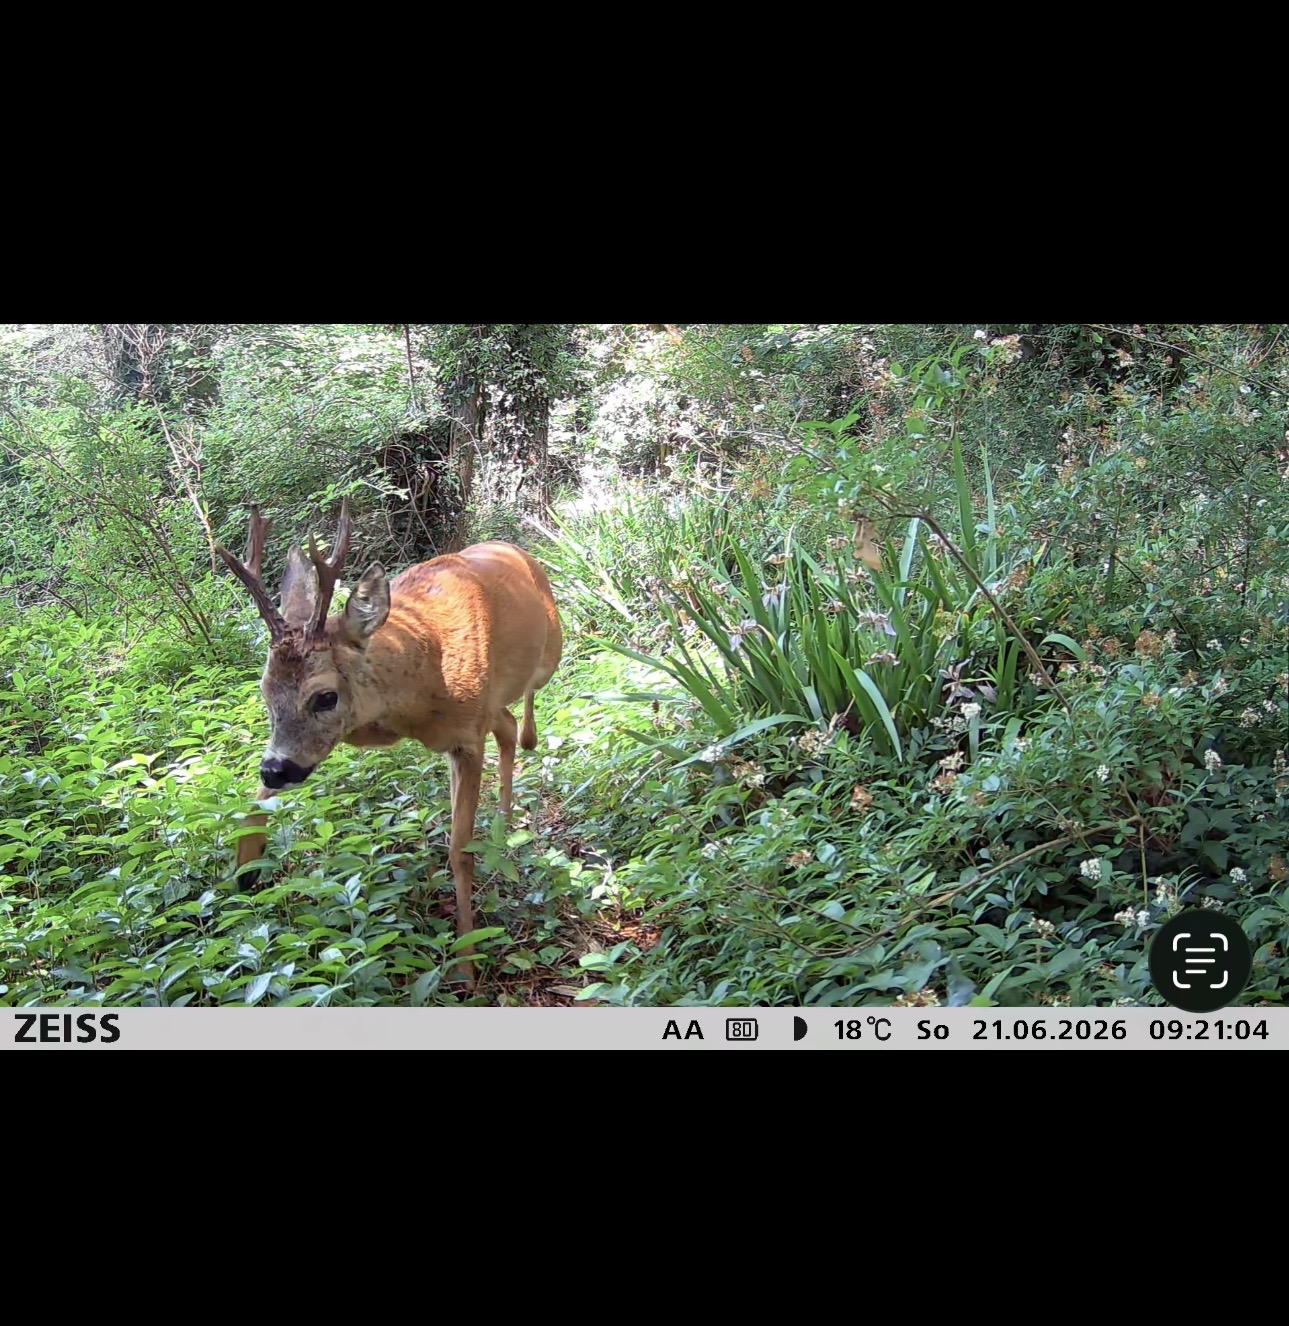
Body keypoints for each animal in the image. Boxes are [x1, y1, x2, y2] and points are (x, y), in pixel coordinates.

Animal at [216, 499, 563, 991]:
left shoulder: (466, 737)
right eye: (264, 691)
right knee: (509, 725)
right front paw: (245, 871)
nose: (274, 768)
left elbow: (459, 853)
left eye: (325, 696)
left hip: (552, 647)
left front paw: (466, 965)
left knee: (528, 703)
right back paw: (505, 819)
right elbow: (257, 798)